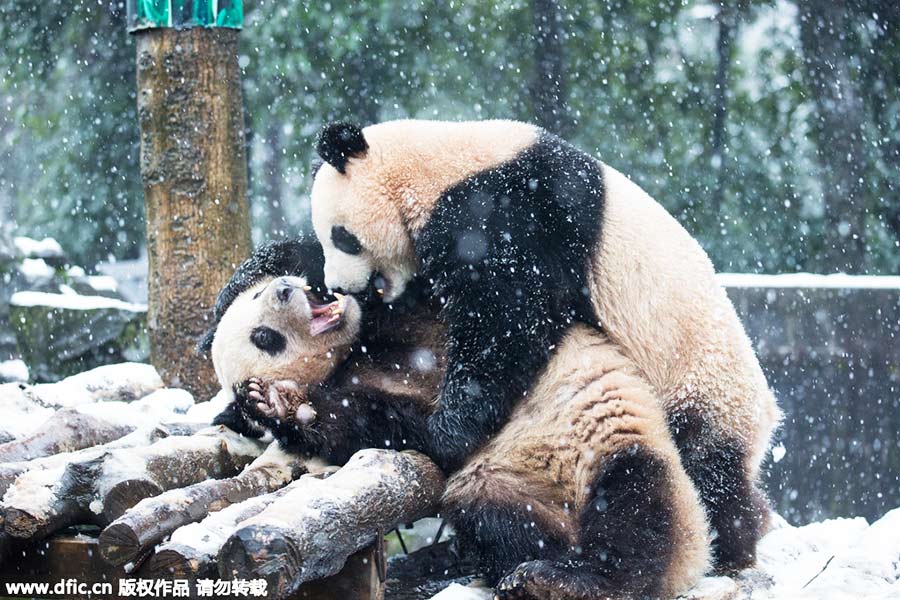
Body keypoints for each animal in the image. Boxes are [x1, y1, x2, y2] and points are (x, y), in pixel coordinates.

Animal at [199, 238, 712, 600]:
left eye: (261, 296)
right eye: (264, 337)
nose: (285, 289)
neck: (358, 351)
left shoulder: (414, 312)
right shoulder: (373, 393)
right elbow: (389, 430)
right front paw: (275, 403)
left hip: (611, 439)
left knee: (633, 502)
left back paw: (568, 580)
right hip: (503, 484)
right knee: (496, 518)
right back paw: (534, 571)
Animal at [309, 119, 782, 572]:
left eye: (342, 236)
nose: (340, 287)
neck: (436, 169)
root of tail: (769, 415)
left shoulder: (505, 214)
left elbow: (506, 319)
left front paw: (447, 431)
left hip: (703, 388)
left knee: (705, 471)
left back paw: (728, 545)